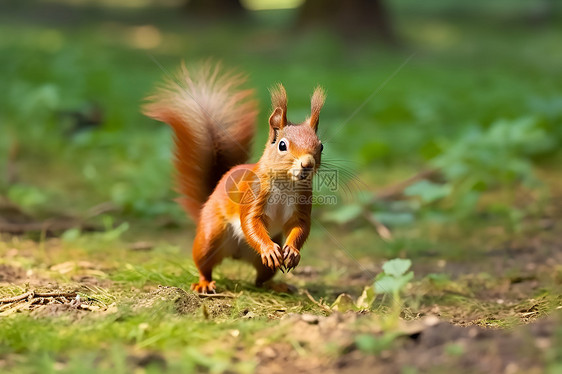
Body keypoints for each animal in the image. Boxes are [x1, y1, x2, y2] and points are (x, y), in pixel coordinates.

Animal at [142, 62, 324, 294]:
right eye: (282, 145)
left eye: (321, 146)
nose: (307, 164)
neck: (286, 184)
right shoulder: (253, 193)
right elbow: (250, 222)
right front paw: (268, 249)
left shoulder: (303, 201)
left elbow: (301, 226)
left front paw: (292, 251)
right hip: (211, 236)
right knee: (204, 264)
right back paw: (204, 283)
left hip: (263, 259)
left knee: (261, 279)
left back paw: (277, 285)